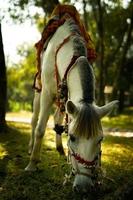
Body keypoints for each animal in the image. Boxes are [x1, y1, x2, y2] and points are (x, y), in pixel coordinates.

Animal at [25, 18, 118, 194]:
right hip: (39, 92)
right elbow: (41, 129)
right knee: (34, 121)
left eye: (100, 139)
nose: (83, 187)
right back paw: (30, 147)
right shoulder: (47, 93)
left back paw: (60, 149)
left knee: (57, 118)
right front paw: (32, 164)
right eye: (73, 138)